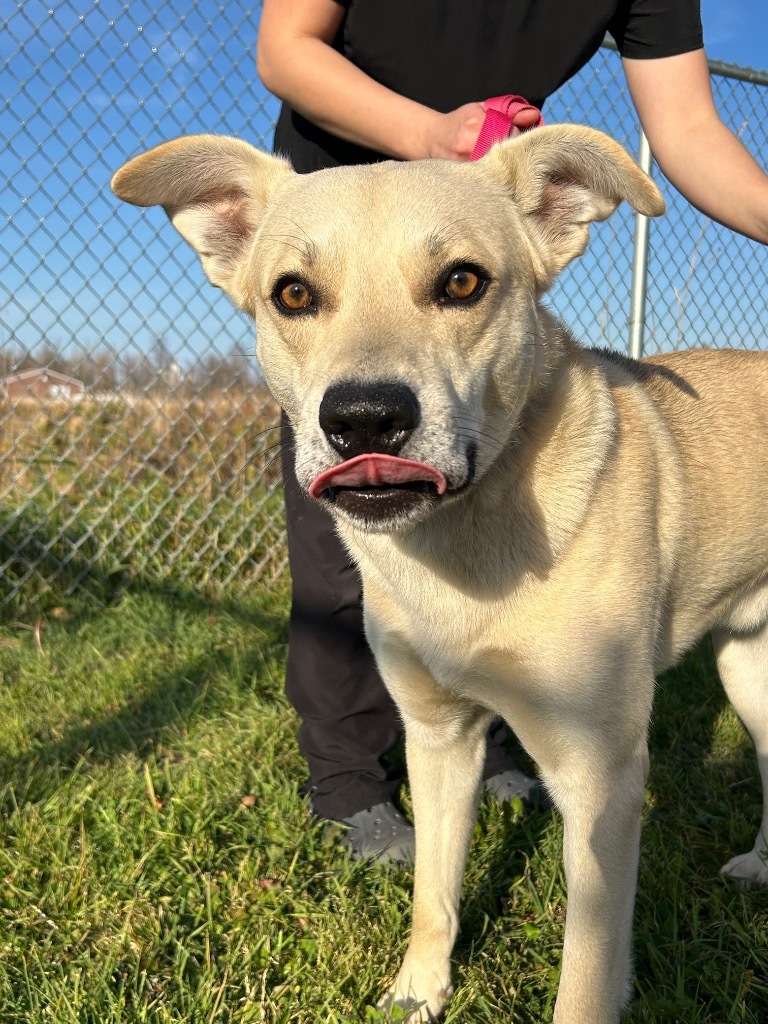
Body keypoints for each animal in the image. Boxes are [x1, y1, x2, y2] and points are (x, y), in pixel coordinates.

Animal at [109, 123, 768, 1019]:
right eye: (292, 294)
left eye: (462, 281)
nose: (364, 420)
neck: (463, 554)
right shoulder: (437, 735)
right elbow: (433, 890)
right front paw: (418, 993)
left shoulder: (600, 775)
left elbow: (587, 969)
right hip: (747, 668)